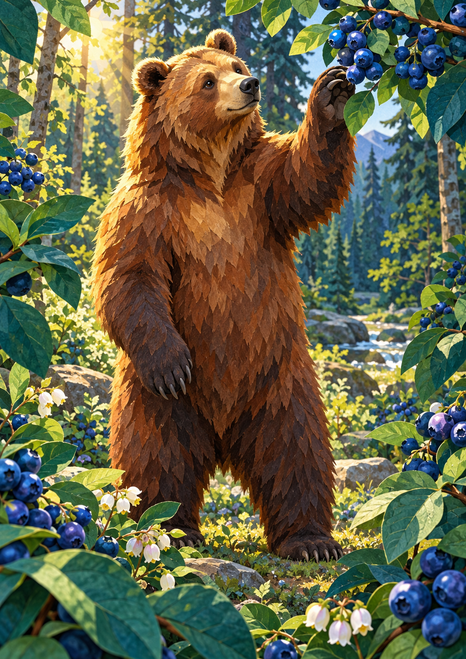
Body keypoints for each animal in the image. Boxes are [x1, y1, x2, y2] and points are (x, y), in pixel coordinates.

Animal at [92, 28, 356, 562]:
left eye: (236, 64)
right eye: (207, 81)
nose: (250, 85)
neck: (209, 174)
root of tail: (222, 435)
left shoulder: (257, 191)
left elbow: (305, 179)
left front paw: (332, 94)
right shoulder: (147, 212)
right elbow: (129, 277)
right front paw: (172, 364)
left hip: (279, 379)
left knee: (296, 448)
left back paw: (310, 540)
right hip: (159, 399)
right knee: (156, 454)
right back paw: (167, 529)